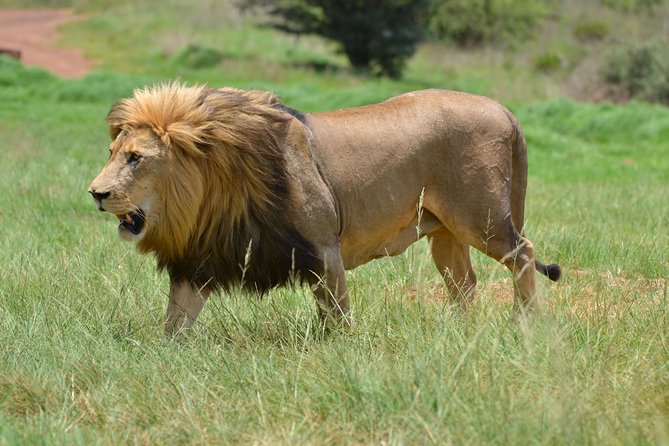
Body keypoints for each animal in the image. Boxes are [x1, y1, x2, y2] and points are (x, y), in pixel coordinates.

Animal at [89, 83, 561, 335]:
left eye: (135, 158)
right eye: (111, 152)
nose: (95, 193)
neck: (209, 194)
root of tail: (505, 111)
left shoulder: (323, 251)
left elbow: (338, 318)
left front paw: (341, 352)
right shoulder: (201, 259)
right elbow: (175, 323)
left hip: (481, 219)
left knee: (524, 253)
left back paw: (524, 323)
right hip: (446, 232)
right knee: (465, 284)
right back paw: (458, 331)